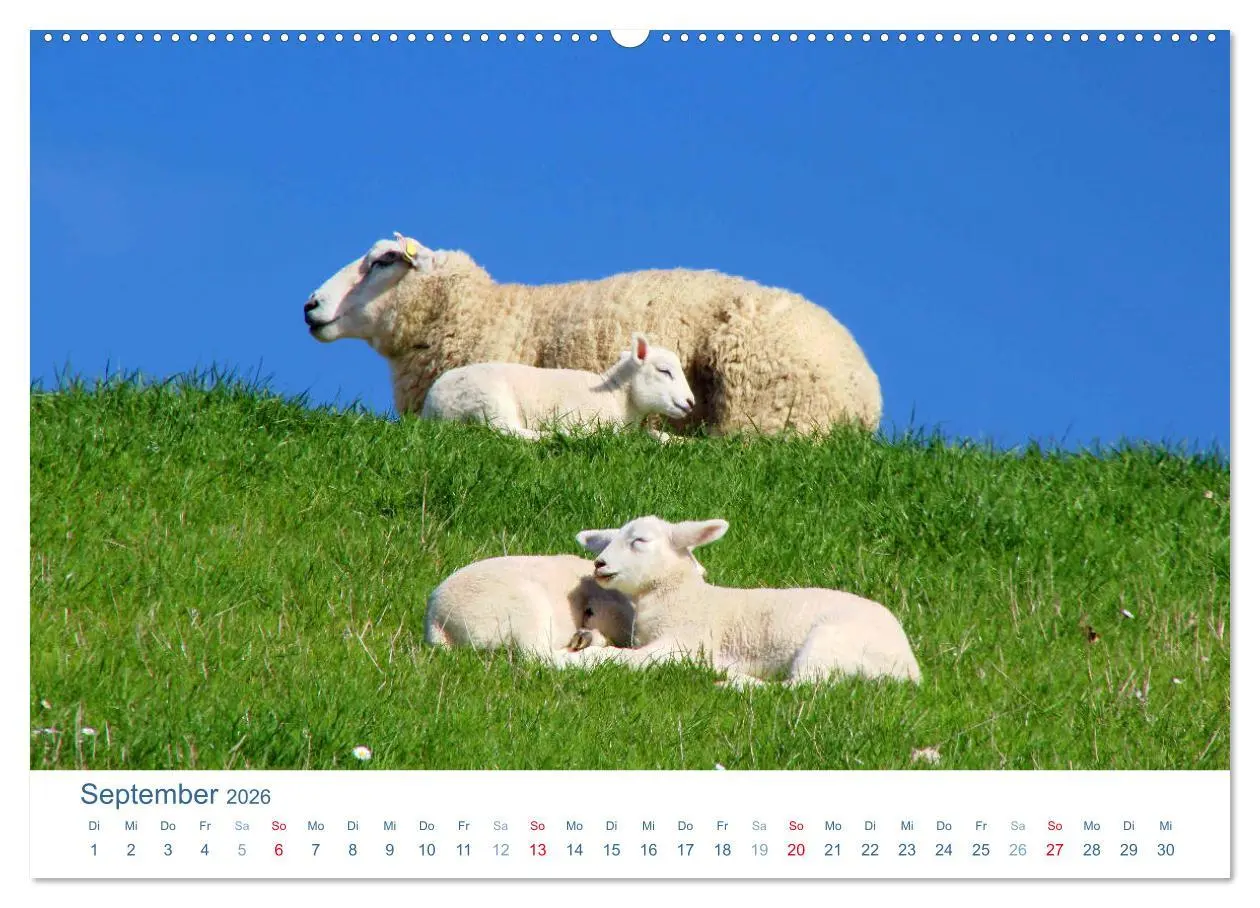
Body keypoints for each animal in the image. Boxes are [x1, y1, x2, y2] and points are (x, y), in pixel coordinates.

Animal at [420, 333, 695, 441]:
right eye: (664, 371)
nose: (691, 403)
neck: (618, 397)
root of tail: (432, 407)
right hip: (490, 401)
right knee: (506, 431)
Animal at [558, 515, 922, 686]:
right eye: (610, 539)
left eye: (640, 541)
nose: (599, 564)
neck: (684, 598)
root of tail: (909, 668)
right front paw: (584, 639)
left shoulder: (683, 645)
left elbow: (622, 659)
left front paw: (572, 660)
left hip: (830, 644)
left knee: (803, 687)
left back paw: (736, 682)